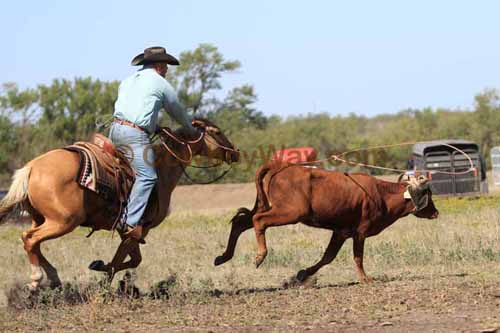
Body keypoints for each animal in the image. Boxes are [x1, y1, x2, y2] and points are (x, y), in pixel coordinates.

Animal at [0, 118, 238, 288]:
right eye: (217, 132)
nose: (235, 152)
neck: (160, 170)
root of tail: (31, 168)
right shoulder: (136, 230)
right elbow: (122, 261)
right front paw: (105, 282)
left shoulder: (130, 233)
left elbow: (132, 260)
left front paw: (99, 266)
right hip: (64, 221)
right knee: (30, 239)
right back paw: (36, 279)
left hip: (41, 219)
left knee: (33, 242)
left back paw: (53, 277)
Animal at [215, 162, 438, 282]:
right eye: (428, 194)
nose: (436, 212)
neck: (381, 195)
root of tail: (281, 166)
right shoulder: (360, 232)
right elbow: (358, 257)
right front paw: (365, 278)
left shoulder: (341, 232)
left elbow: (328, 257)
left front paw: (303, 274)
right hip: (290, 213)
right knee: (258, 220)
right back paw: (260, 256)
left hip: (270, 207)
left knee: (241, 222)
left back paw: (223, 257)